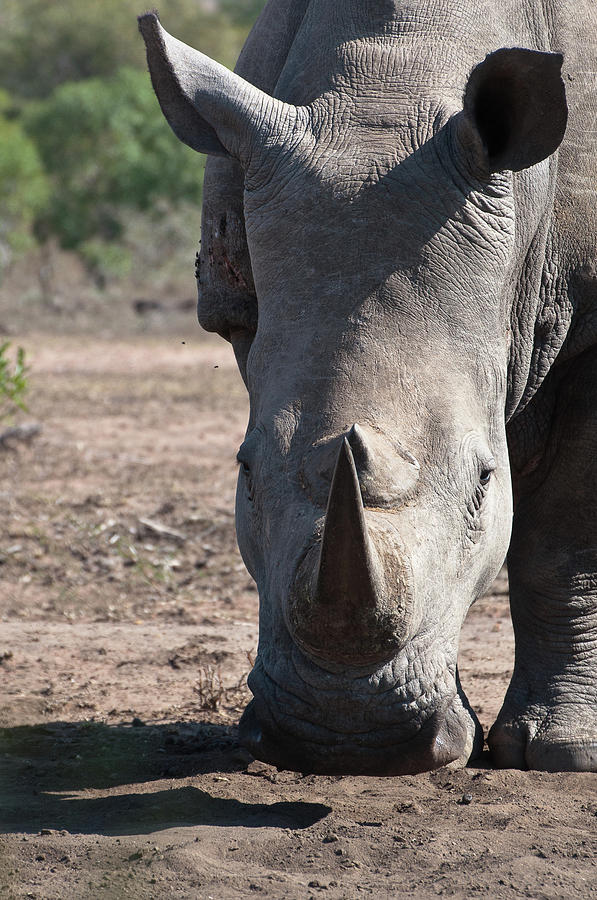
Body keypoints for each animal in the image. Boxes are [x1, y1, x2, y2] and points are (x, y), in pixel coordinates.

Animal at [141, 0, 596, 772]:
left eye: (483, 484)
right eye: (244, 476)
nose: (348, 739)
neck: (392, 80)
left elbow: (565, 539)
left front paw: (563, 755)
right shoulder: (242, 311)